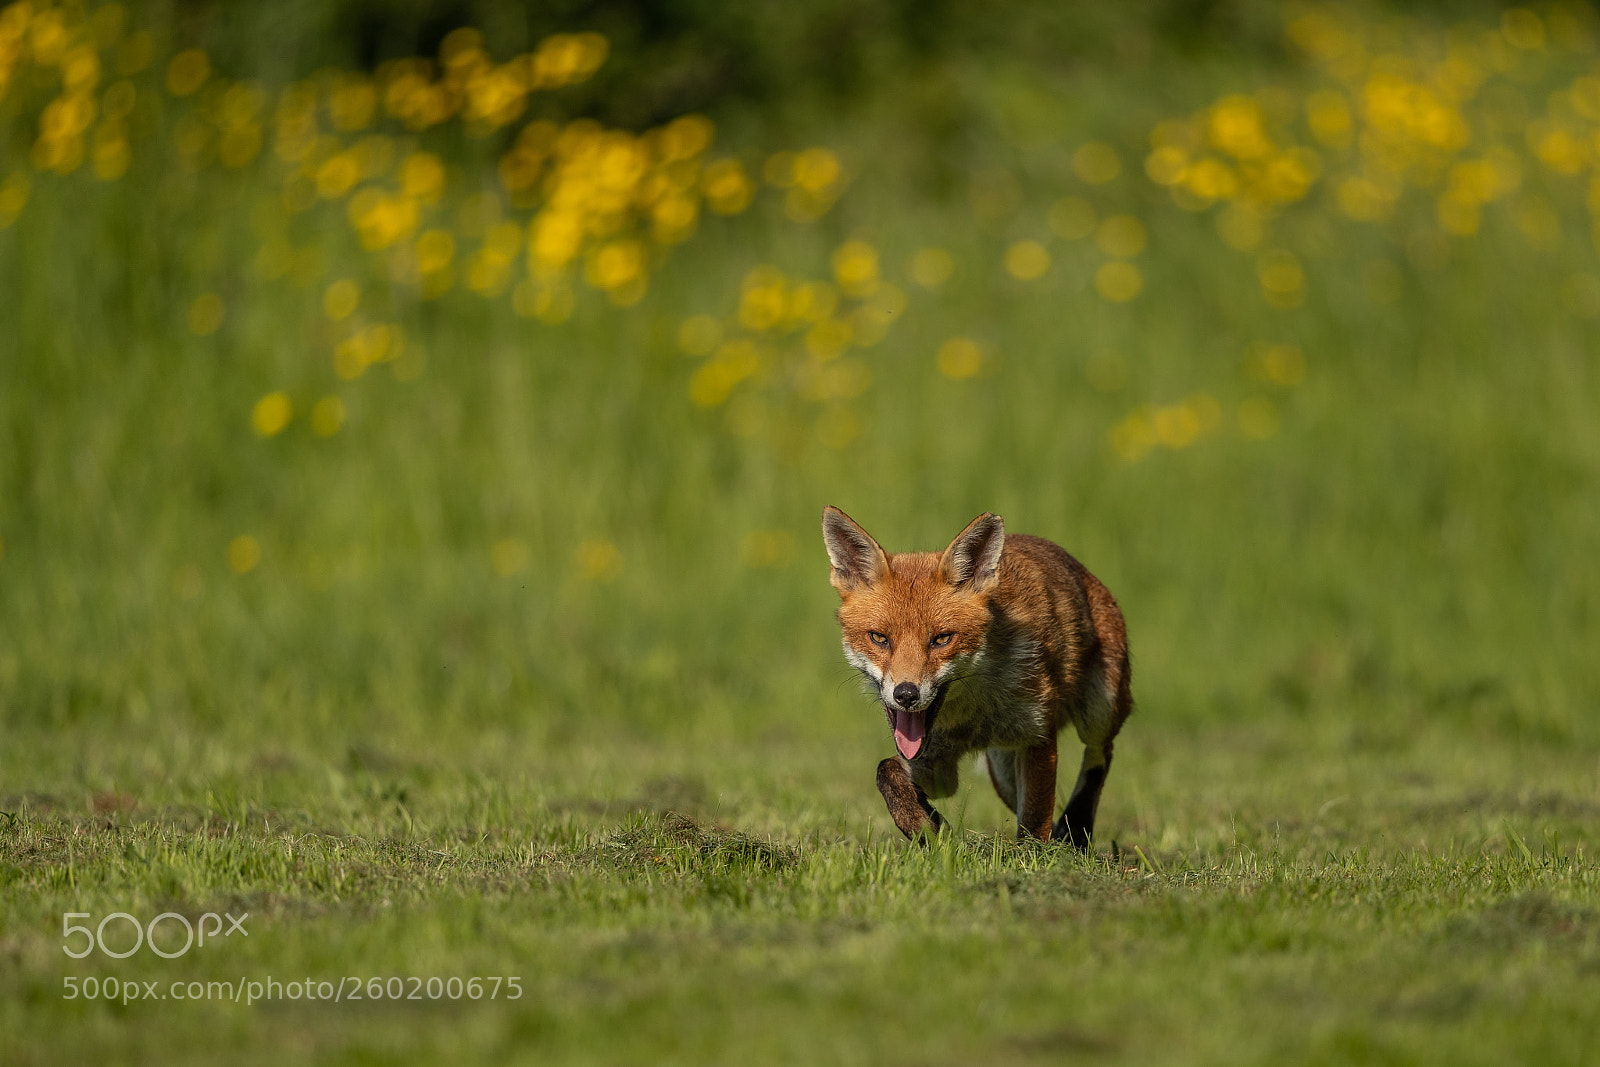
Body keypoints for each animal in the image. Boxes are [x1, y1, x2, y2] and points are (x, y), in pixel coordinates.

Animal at [822, 506, 1132, 847]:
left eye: (942, 639)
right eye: (879, 638)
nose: (906, 695)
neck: (972, 716)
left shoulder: (1037, 735)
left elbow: (1034, 821)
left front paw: (1029, 856)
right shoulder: (937, 764)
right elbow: (886, 771)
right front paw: (925, 827)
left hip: (1099, 712)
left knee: (1100, 753)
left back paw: (1077, 825)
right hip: (1004, 772)